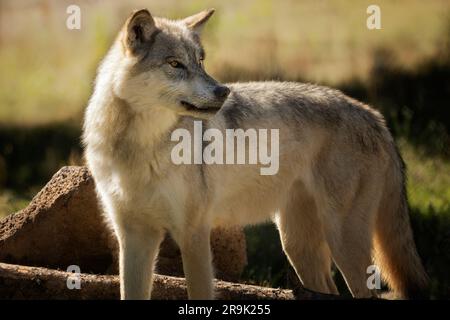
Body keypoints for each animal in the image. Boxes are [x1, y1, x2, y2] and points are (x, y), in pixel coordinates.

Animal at [81, 8, 428, 300]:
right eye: (175, 64)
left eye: (201, 62)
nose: (223, 91)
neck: (139, 147)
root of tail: (374, 115)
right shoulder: (133, 238)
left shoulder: (194, 234)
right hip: (299, 246)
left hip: (342, 242)